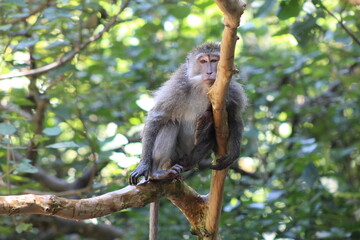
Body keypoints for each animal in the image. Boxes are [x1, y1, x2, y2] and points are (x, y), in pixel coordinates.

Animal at [129, 42, 248, 239]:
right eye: (203, 61)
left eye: (214, 60)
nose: (210, 72)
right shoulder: (178, 85)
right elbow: (157, 117)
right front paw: (143, 165)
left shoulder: (232, 90)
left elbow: (235, 119)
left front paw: (233, 153)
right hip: (172, 156)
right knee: (170, 123)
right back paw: (157, 172)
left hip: (189, 156)